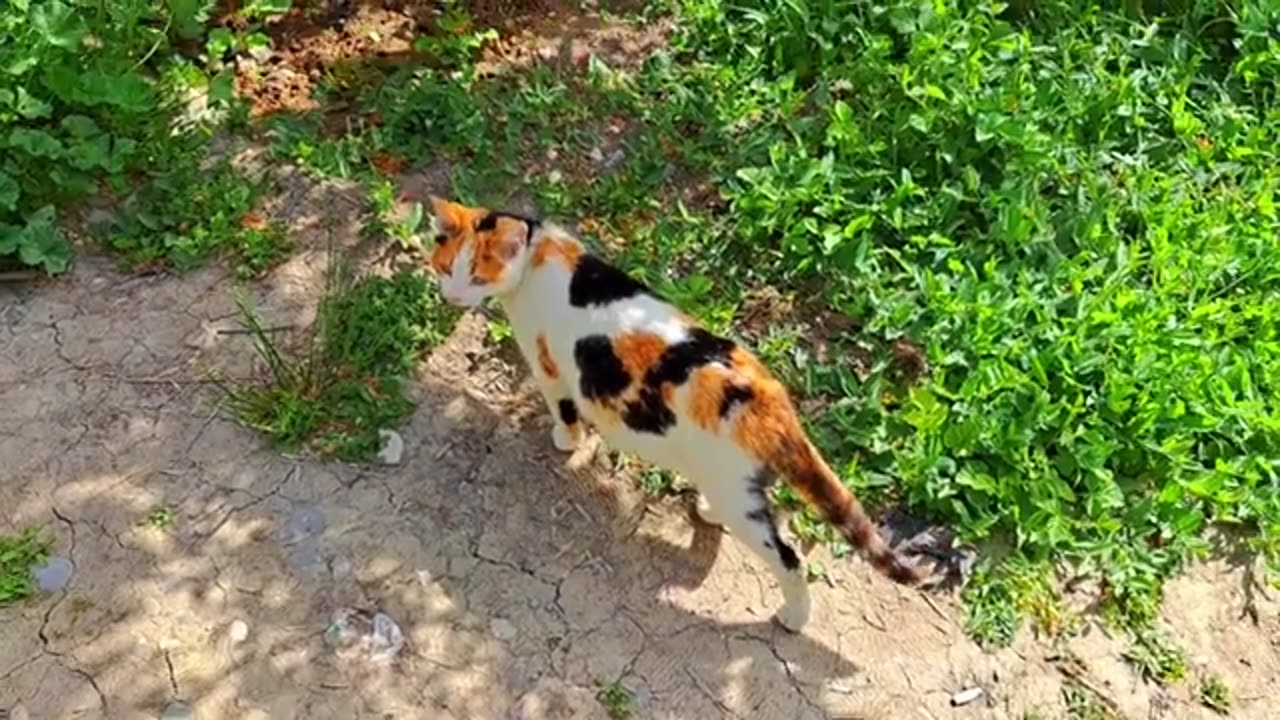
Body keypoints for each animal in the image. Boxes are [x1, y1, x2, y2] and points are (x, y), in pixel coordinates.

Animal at [430, 194, 931, 627]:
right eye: (446, 267)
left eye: (477, 276)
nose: (451, 297)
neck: (539, 253)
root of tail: (767, 399)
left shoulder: (548, 367)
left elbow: (564, 411)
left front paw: (564, 442)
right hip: (739, 485)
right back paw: (707, 510)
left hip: (740, 502)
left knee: (788, 558)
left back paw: (793, 617)